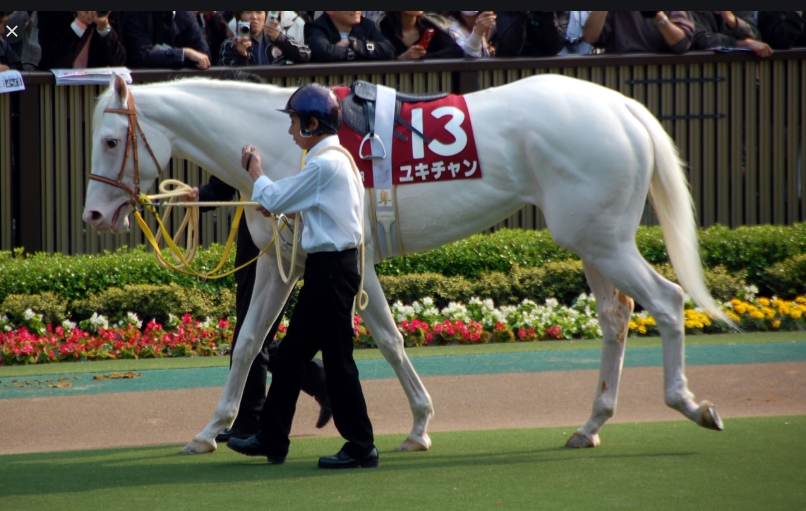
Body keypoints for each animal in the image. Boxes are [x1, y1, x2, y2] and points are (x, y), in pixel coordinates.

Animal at [83, 73, 727, 455]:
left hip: (601, 238)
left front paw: (418, 425)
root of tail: (623, 107)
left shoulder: (351, 255)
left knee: (667, 301)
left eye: (112, 141)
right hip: (593, 239)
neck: (284, 142)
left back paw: (691, 405)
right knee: (617, 318)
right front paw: (210, 431)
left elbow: (388, 338)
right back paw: (590, 424)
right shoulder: (281, 261)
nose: (93, 214)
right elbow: (247, 344)